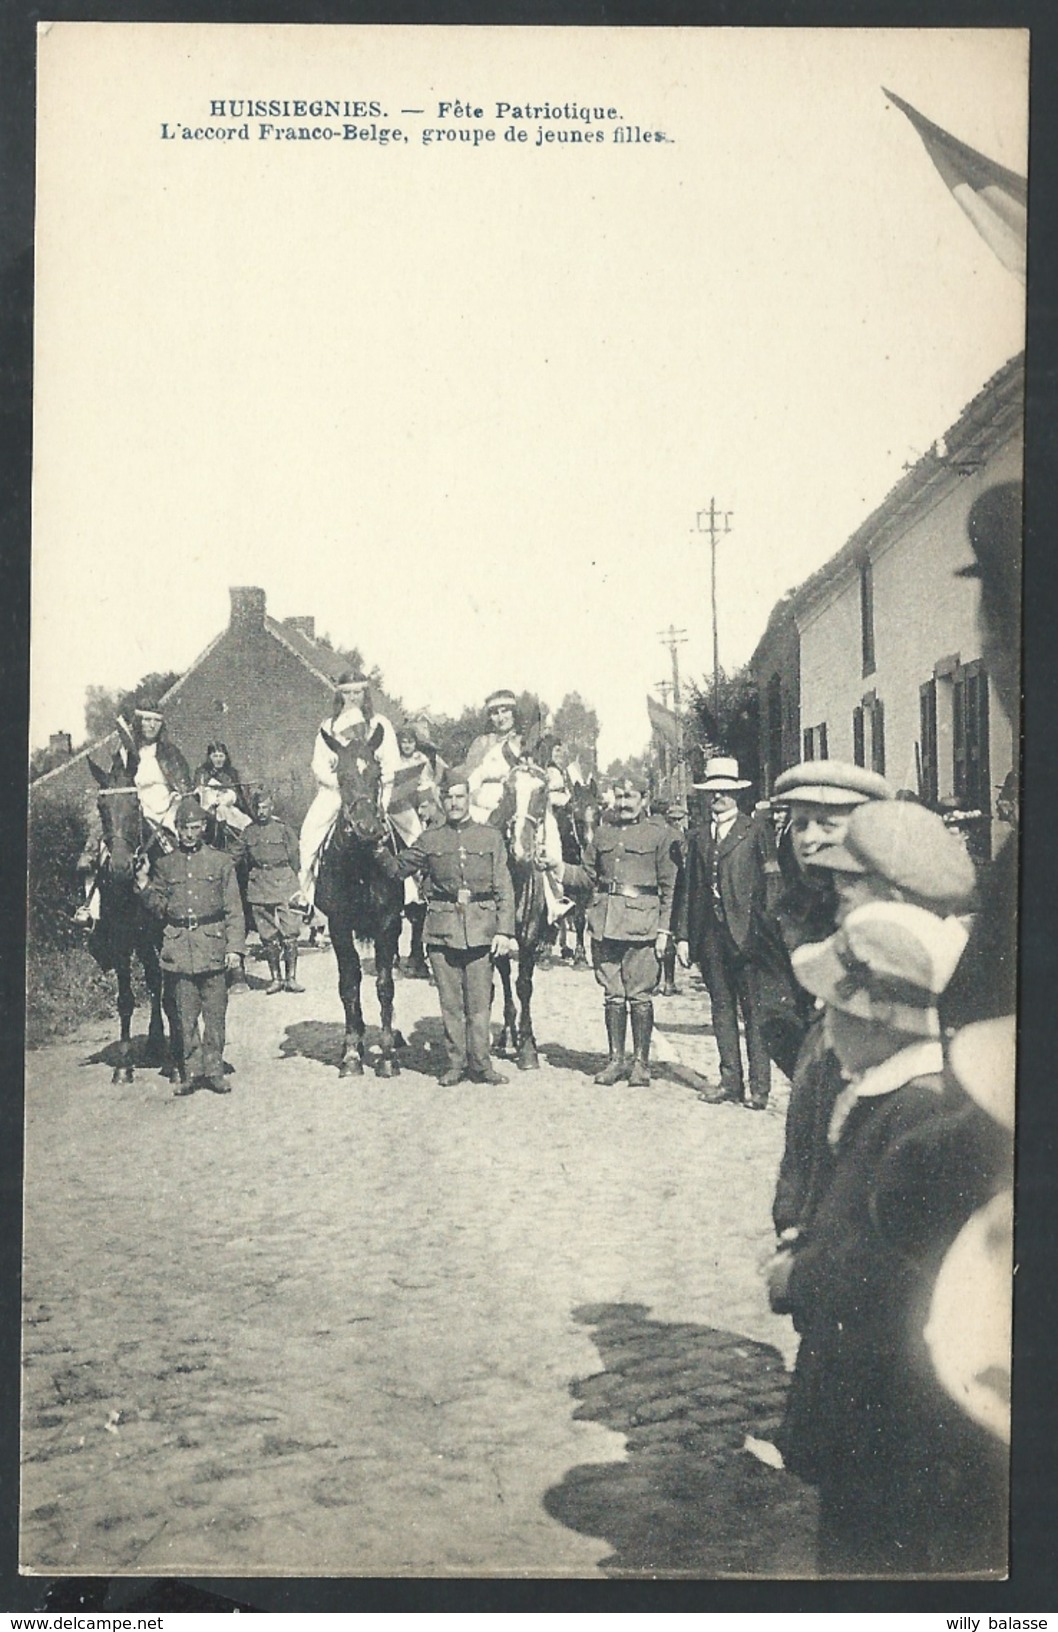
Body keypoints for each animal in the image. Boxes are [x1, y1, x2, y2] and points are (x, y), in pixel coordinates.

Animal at [85, 753, 176, 1083]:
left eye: (135, 802)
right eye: (101, 807)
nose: (122, 867)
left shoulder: (163, 938)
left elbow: (170, 994)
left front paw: (175, 1065)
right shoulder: (122, 942)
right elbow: (125, 1000)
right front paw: (123, 1067)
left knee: (157, 982)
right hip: (141, 942)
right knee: (152, 981)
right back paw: (154, 1042)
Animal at [313, 721, 404, 1077]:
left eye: (377, 773)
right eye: (341, 775)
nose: (367, 827)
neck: (362, 865)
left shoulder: (388, 924)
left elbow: (385, 985)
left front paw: (388, 1055)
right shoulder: (338, 926)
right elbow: (349, 984)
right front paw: (352, 1052)